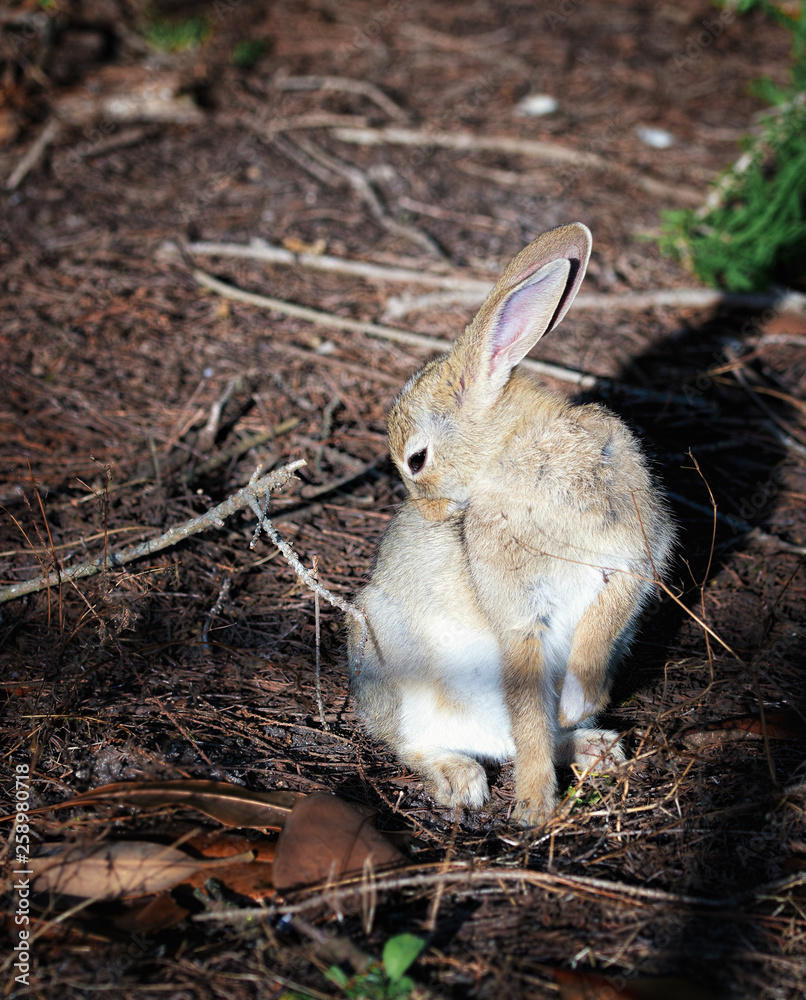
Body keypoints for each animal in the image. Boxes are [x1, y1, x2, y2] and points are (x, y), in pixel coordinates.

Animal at [347, 222, 675, 827]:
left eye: (416, 460)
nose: (430, 516)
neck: (514, 449)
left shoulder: (634, 560)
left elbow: (599, 630)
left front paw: (578, 703)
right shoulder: (521, 613)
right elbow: (526, 705)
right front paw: (532, 807)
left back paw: (595, 745)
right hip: (386, 661)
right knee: (415, 743)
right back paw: (462, 780)